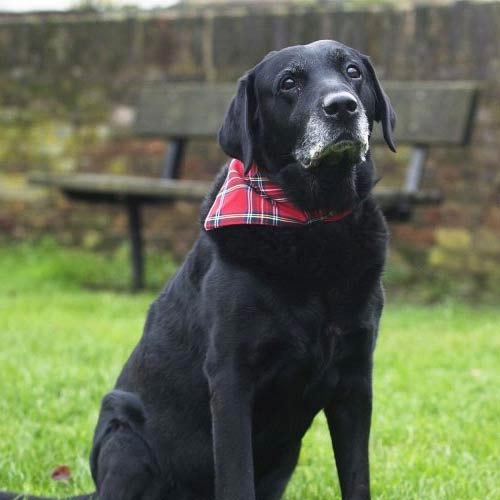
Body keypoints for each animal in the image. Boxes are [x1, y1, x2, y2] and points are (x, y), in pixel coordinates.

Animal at [1, 40, 396, 500]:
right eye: (289, 83)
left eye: (353, 72)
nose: (343, 106)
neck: (311, 223)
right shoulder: (231, 380)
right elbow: (236, 477)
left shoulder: (355, 380)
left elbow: (357, 477)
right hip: (125, 434)